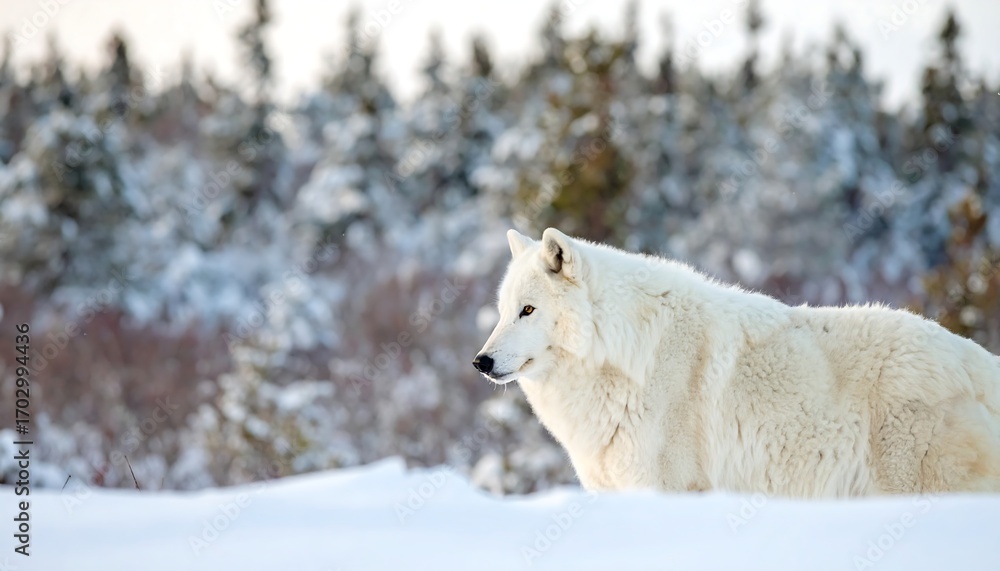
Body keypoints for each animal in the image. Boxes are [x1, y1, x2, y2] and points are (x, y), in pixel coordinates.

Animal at [473, 228, 1000, 497]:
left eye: (528, 310)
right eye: (501, 311)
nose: (481, 361)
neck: (624, 355)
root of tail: (977, 361)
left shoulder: (671, 489)